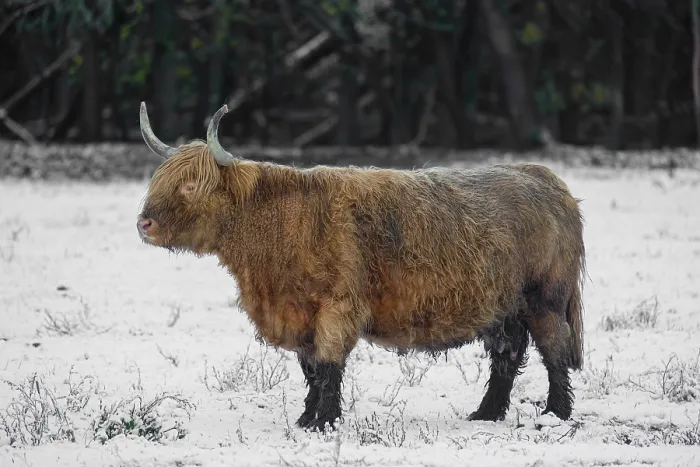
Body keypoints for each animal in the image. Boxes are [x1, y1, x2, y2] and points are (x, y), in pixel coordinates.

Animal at [136, 102, 586, 432]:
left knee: (554, 350)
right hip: (501, 306)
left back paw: (555, 414)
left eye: (190, 185)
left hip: (545, 299)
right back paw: (486, 414)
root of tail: (545, 178)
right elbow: (311, 370)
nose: (144, 224)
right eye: (158, 181)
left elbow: (329, 364)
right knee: (506, 355)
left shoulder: (336, 307)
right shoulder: (300, 315)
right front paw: (306, 419)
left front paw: (325, 422)